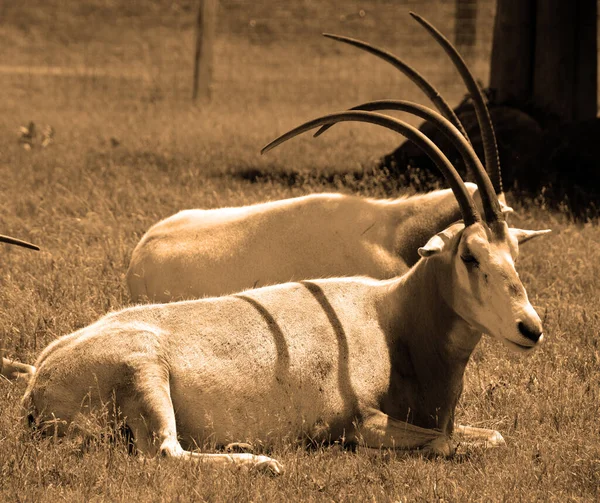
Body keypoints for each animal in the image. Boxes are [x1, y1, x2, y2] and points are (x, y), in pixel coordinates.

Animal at [22, 111, 548, 476]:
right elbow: (443, 443)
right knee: (165, 452)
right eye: (470, 255)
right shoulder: (361, 421)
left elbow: (494, 436)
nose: (531, 328)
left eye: (514, 249)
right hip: (145, 371)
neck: (389, 316)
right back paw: (261, 463)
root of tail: (41, 374)